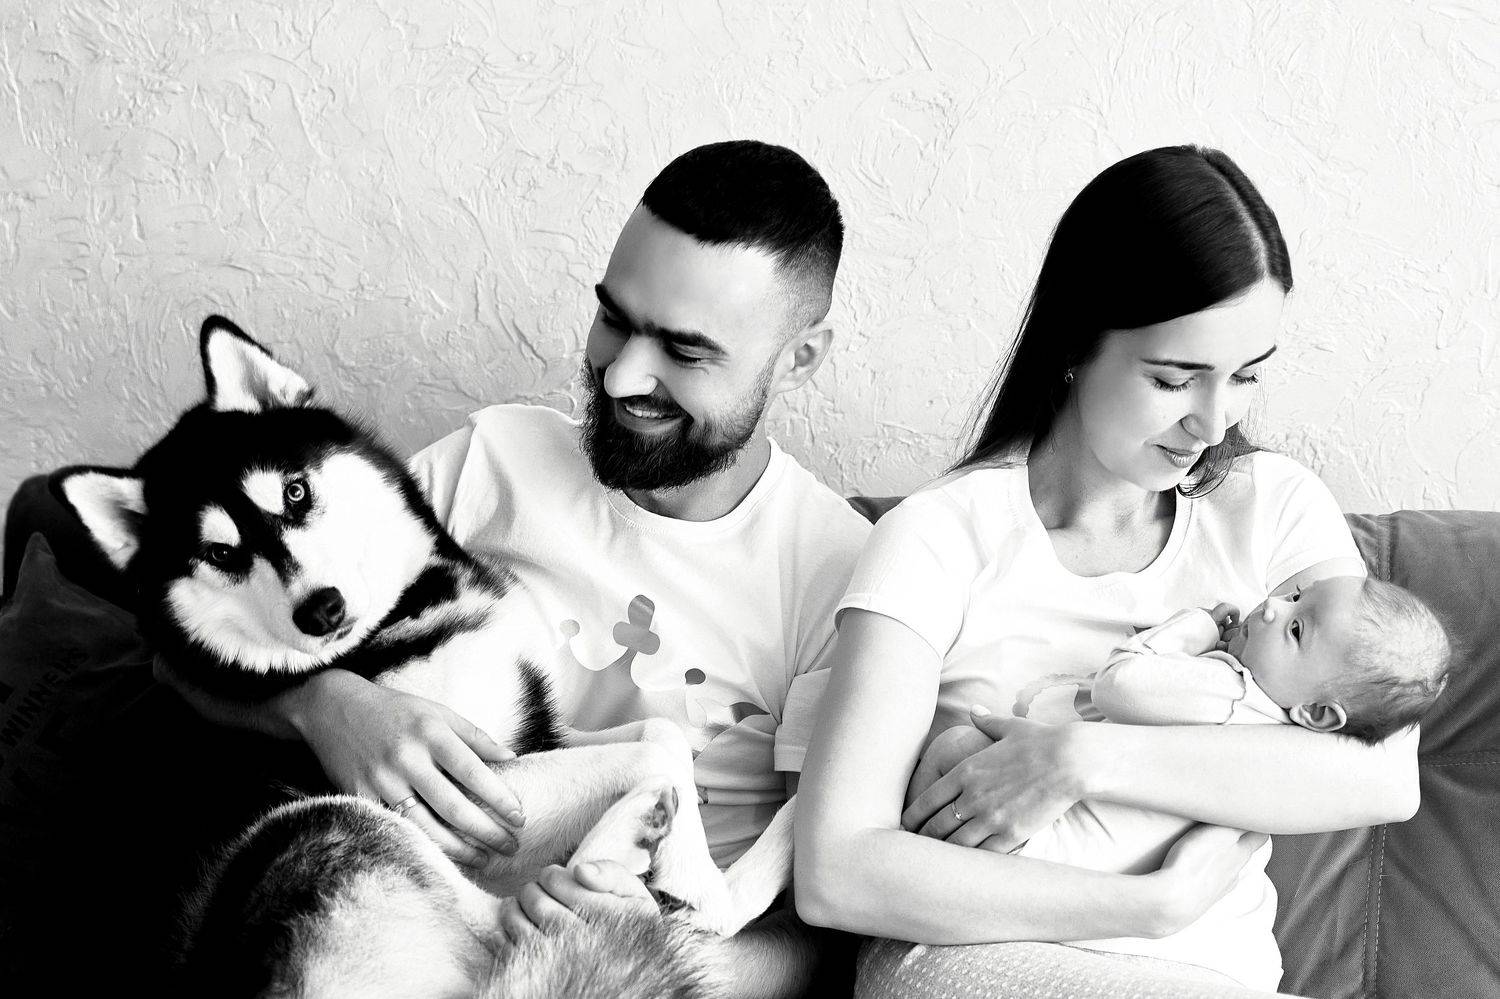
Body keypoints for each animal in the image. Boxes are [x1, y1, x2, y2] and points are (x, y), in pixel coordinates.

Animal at [54, 316, 793, 996]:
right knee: (526, 919)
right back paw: (646, 852)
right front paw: (697, 881)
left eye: (294, 491)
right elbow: (648, 756)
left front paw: (690, 854)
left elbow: (658, 732)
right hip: (335, 818)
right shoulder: (470, 796)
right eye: (220, 554)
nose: (319, 610)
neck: (403, 612)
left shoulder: (530, 728)